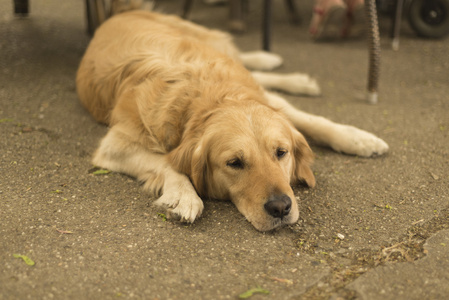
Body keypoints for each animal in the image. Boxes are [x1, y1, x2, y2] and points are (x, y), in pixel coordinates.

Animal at [75, 10, 386, 231]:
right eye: (234, 163)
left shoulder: (264, 100)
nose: (281, 208)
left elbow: (310, 120)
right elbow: (166, 161)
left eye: (281, 152)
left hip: (214, 42)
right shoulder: (115, 144)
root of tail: (124, 11)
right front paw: (184, 195)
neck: (210, 95)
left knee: (251, 66)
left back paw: (284, 70)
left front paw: (358, 138)